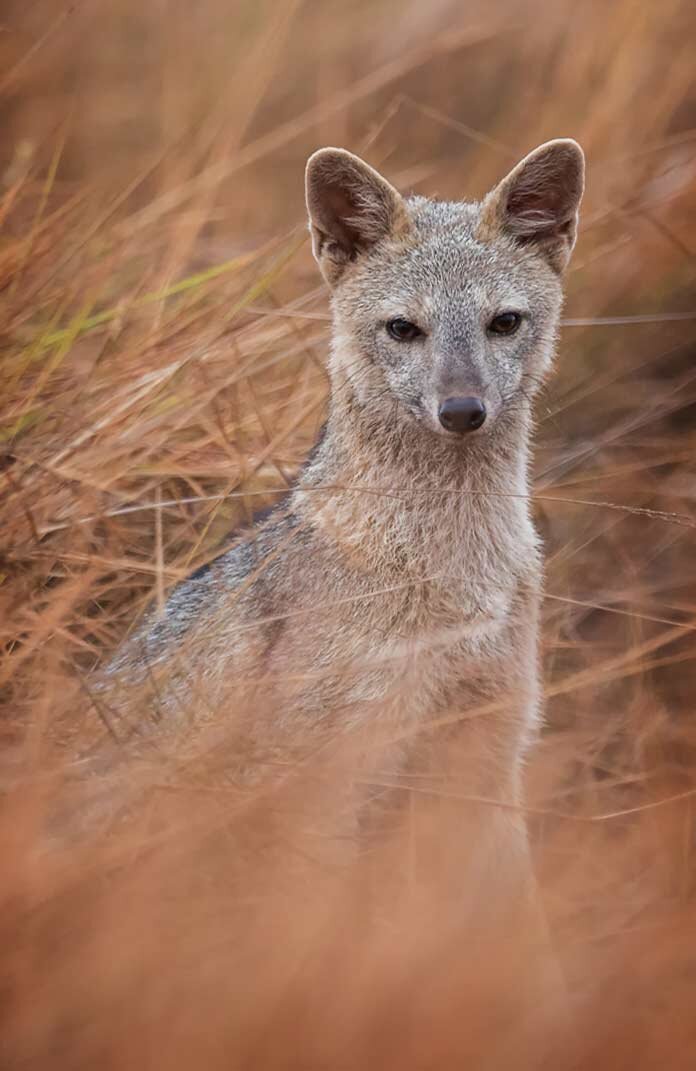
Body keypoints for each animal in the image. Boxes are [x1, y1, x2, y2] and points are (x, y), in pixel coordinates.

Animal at [97, 140, 582, 929]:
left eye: (503, 323)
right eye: (403, 329)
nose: (462, 409)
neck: (452, 575)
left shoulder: (489, 748)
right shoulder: (329, 773)